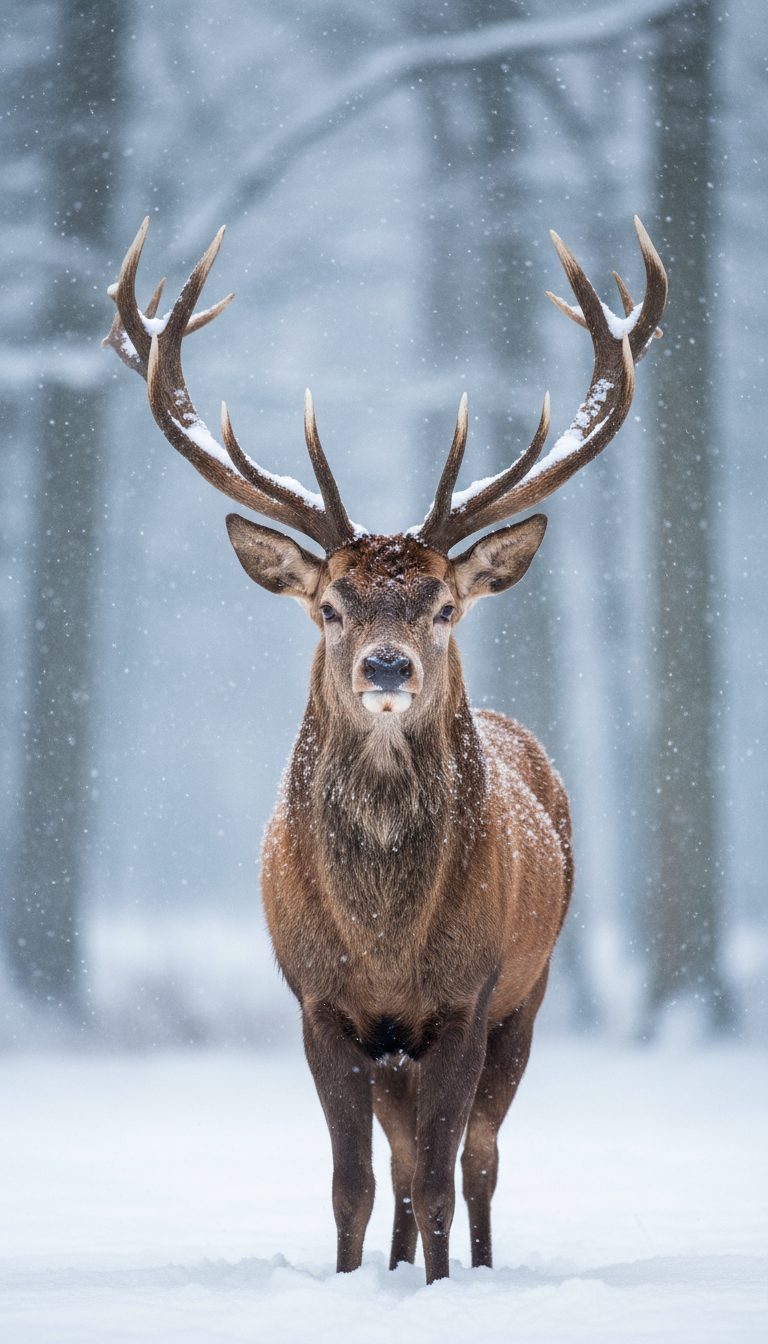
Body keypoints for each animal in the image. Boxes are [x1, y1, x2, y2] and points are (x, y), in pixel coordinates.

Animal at [103, 215, 666, 1283]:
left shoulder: (465, 996)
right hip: (395, 1044)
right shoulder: (320, 1003)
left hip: (528, 996)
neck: (386, 939)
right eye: (331, 604)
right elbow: (354, 1186)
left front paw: (442, 1289)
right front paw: (358, 1281)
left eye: (444, 604)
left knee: (478, 1156)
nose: (389, 665)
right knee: (404, 1161)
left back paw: (472, 1268)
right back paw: (401, 1267)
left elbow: (443, 1176)